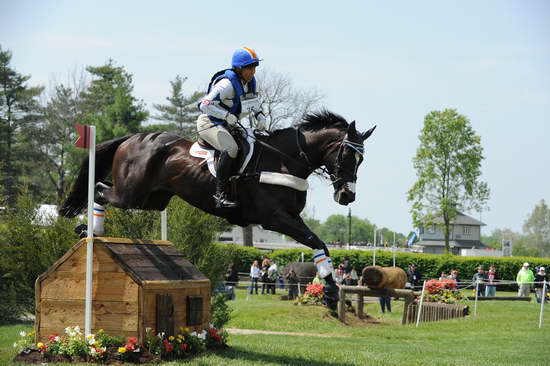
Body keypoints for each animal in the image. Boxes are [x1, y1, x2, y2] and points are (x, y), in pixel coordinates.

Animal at [62, 110, 378, 308]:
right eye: (347, 154)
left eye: (362, 160)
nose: (347, 196)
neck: (284, 161)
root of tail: (132, 138)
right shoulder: (274, 218)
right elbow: (315, 240)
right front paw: (331, 291)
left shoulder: (291, 217)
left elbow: (319, 244)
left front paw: (331, 292)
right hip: (132, 193)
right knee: (99, 190)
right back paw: (87, 230)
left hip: (152, 199)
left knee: (103, 189)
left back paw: (89, 231)